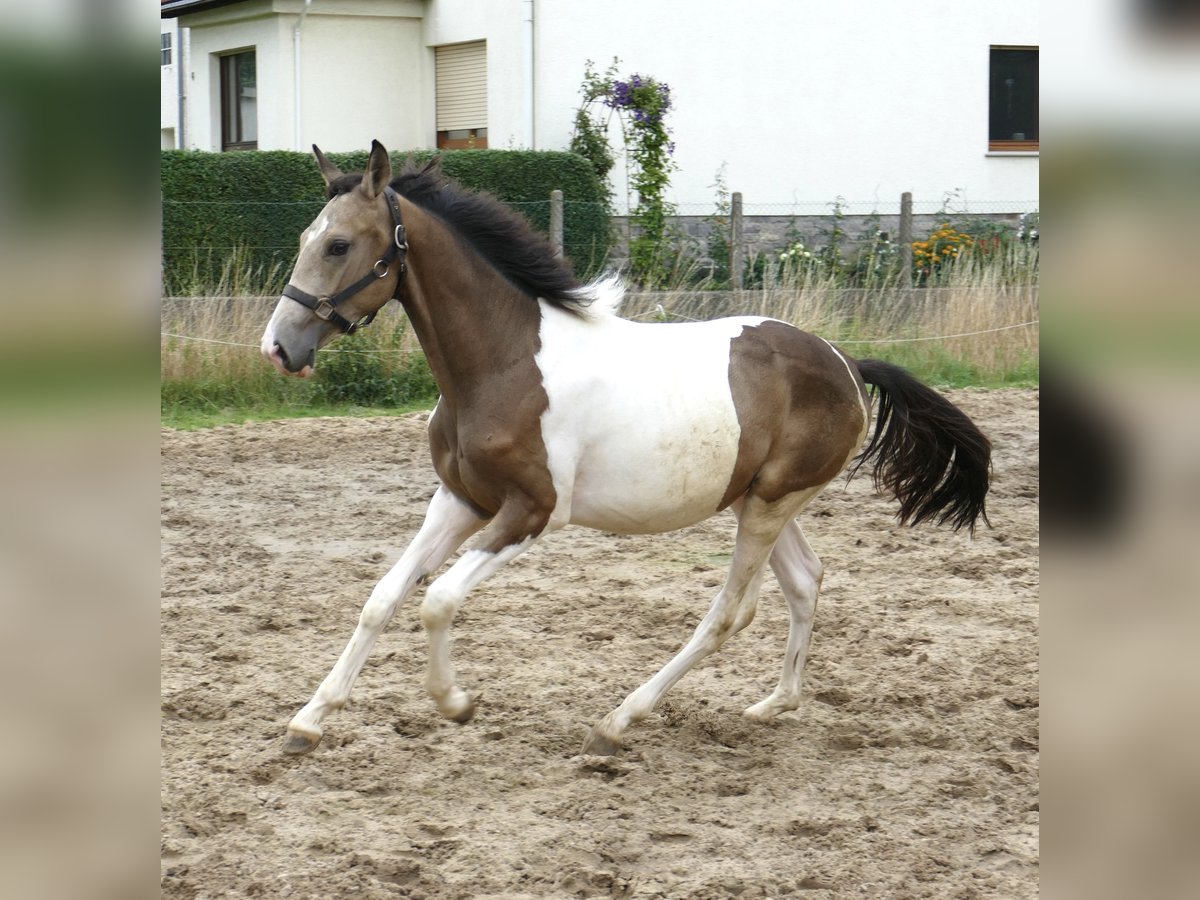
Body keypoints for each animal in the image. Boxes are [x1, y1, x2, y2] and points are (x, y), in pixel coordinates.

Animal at [260, 141, 991, 756]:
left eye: (339, 245)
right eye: (304, 240)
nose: (279, 348)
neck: (505, 364)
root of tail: (846, 363)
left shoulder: (532, 512)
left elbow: (437, 599)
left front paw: (455, 703)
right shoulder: (461, 499)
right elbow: (384, 597)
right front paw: (306, 722)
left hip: (770, 504)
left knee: (731, 612)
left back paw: (617, 722)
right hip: (757, 499)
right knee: (805, 582)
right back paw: (774, 703)